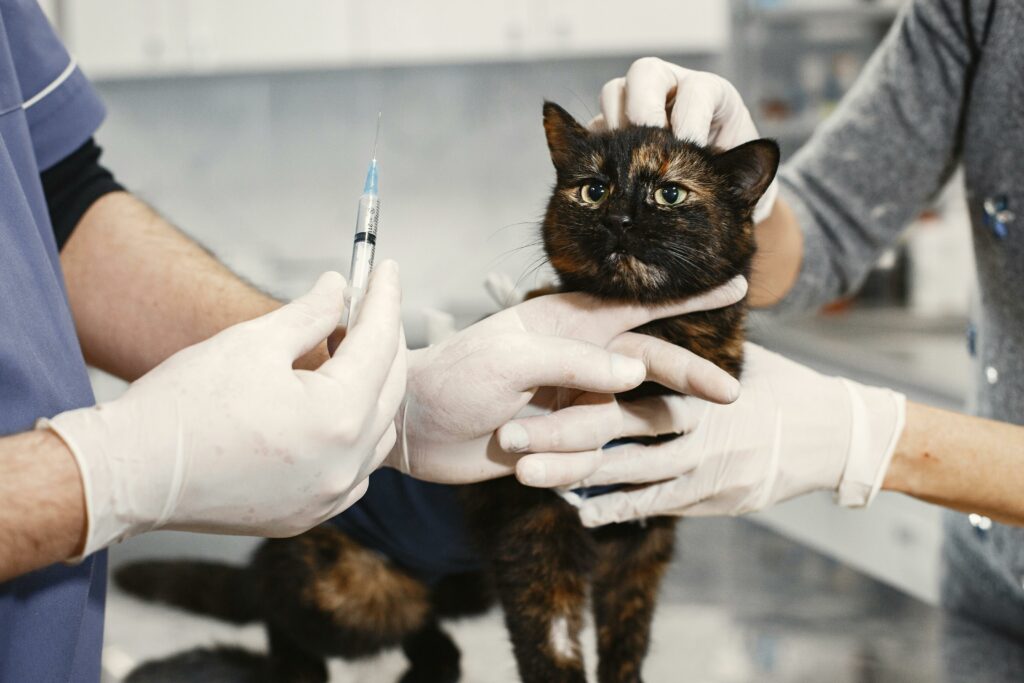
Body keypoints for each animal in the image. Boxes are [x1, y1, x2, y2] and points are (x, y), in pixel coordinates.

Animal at [112, 101, 778, 683]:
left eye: (670, 193)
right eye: (593, 189)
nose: (618, 220)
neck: (647, 341)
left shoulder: (642, 532)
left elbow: (627, 641)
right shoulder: (533, 526)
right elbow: (552, 644)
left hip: (464, 583)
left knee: (424, 622)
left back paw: (436, 664)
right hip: (354, 592)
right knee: (284, 615)